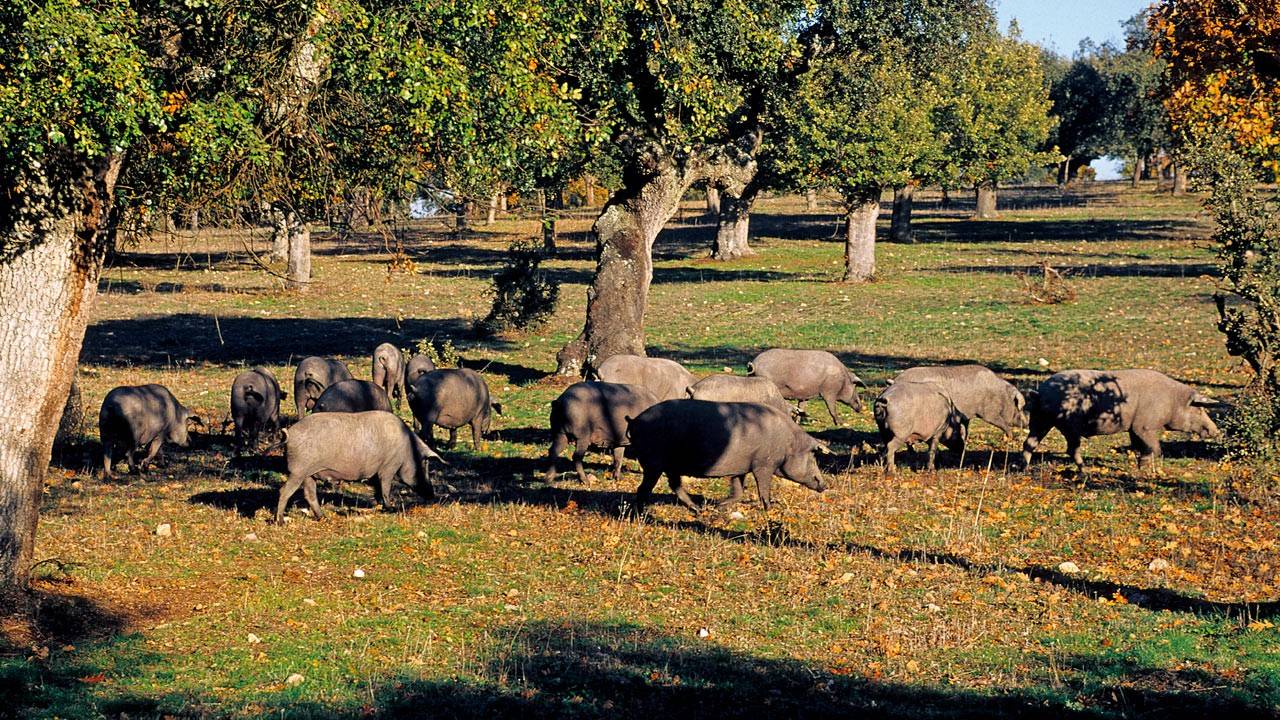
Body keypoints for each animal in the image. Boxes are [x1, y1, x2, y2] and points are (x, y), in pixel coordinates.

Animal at [275, 409, 440, 520]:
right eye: (425, 464)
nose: (432, 494)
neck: (408, 450)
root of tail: (290, 434)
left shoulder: (375, 472)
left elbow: (378, 489)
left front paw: (379, 506)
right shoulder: (388, 467)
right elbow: (385, 487)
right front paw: (391, 508)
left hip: (309, 474)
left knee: (309, 494)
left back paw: (323, 517)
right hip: (298, 471)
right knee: (284, 491)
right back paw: (280, 521)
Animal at [619, 397, 829, 509]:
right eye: (813, 456)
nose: (825, 485)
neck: (789, 444)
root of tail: (635, 421)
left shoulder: (741, 468)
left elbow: (738, 490)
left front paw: (719, 506)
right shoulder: (764, 464)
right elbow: (763, 488)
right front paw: (770, 508)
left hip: (669, 465)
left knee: (674, 485)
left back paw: (697, 510)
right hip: (653, 462)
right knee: (644, 488)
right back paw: (641, 513)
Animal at [890, 363, 1029, 443]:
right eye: (1020, 407)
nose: (1027, 423)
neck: (1002, 396)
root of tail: (895, 381)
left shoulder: (966, 415)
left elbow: (965, 427)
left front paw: (964, 440)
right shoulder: (988, 412)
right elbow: (1001, 423)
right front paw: (1010, 437)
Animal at [1018, 366, 1218, 468]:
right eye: (1200, 410)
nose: (1216, 431)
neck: (1172, 401)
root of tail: (1041, 392)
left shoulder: (1133, 428)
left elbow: (1137, 445)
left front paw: (1137, 463)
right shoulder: (1144, 426)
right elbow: (1156, 448)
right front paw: (1144, 465)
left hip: (1041, 420)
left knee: (1029, 443)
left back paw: (1024, 468)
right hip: (1068, 425)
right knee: (1072, 449)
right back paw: (1084, 470)